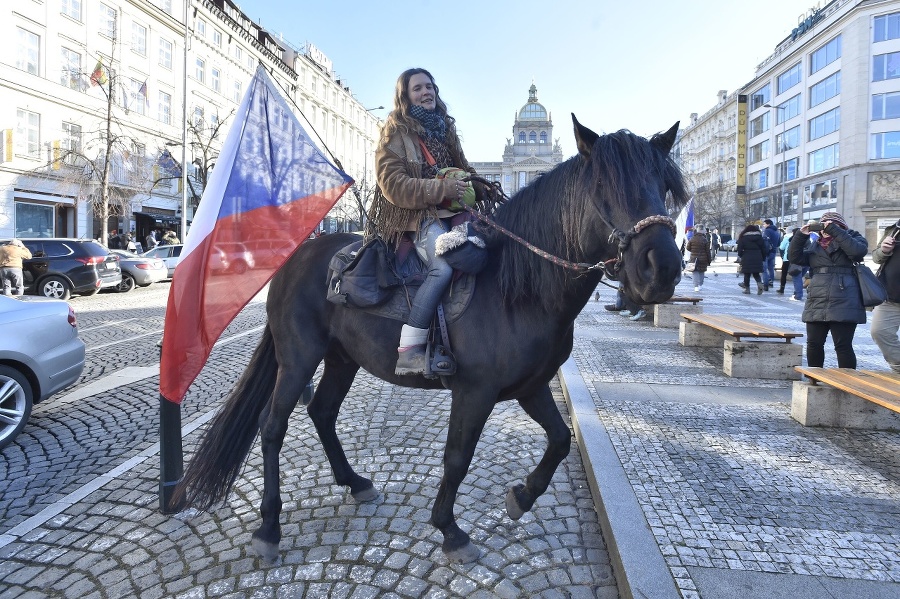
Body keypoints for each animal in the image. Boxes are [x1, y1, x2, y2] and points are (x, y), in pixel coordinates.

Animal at [178, 115, 696, 564]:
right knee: (272, 427)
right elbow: (457, 458)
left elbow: (560, 439)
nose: (663, 268)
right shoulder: (474, 391)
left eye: (666, 188)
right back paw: (269, 528)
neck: (518, 288)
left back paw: (354, 482)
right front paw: (450, 530)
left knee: (321, 412)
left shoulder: (530, 386)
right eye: (603, 188)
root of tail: (297, 254)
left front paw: (522, 496)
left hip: (343, 358)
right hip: (299, 356)